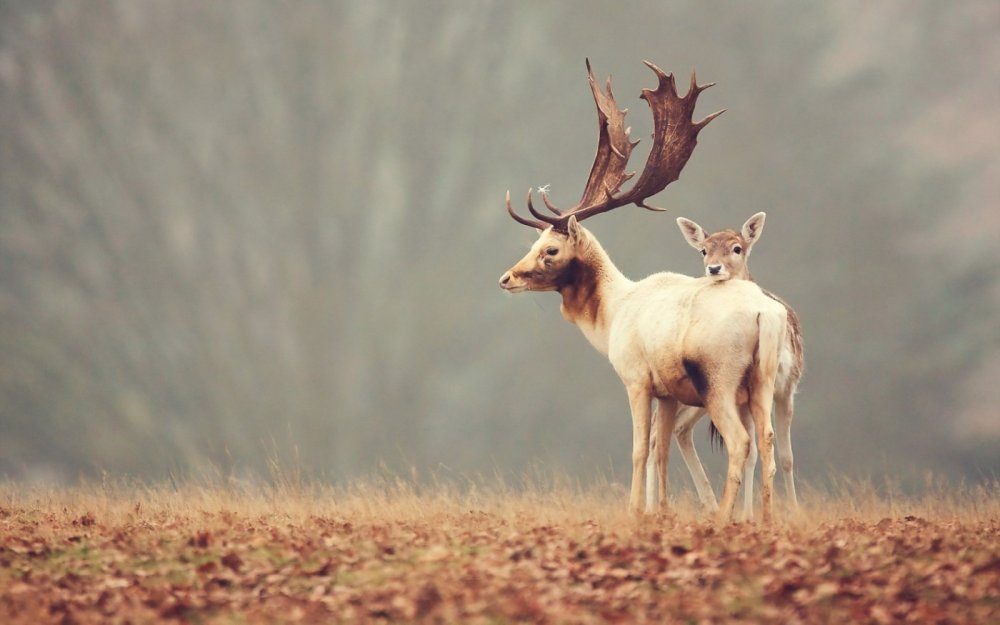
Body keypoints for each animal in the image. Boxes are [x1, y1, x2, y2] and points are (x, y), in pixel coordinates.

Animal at [500, 61, 788, 520]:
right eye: (533, 243)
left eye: (550, 249)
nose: (507, 278)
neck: (612, 314)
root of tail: (767, 314)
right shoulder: (668, 392)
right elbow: (661, 450)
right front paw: (661, 512)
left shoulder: (636, 378)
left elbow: (639, 449)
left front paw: (635, 511)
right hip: (762, 380)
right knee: (768, 443)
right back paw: (764, 519)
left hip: (719, 379)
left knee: (740, 442)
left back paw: (723, 518)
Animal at [648, 212, 804, 516]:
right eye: (703, 250)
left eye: (737, 248)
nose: (713, 268)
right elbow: (755, 452)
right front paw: (747, 514)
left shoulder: (787, 387)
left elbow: (786, 456)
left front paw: (790, 512)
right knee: (659, 431)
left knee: (673, 430)